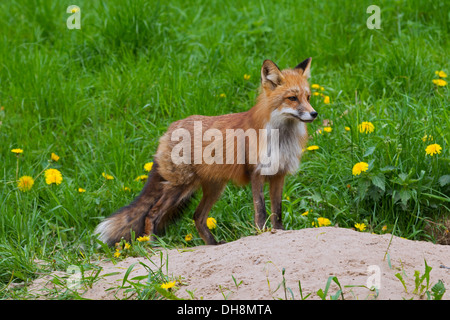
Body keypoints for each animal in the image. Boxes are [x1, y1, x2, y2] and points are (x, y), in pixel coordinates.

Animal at [94, 58, 320, 245]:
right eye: (292, 98)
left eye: (308, 97)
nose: (314, 113)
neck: (281, 138)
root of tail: (168, 130)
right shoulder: (256, 172)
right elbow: (261, 211)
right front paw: (262, 234)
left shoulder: (279, 174)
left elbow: (277, 212)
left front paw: (279, 232)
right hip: (180, 187)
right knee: (152, 213)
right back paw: (153, 247)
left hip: (213, 188)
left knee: (197, 216)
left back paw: (213, 245)